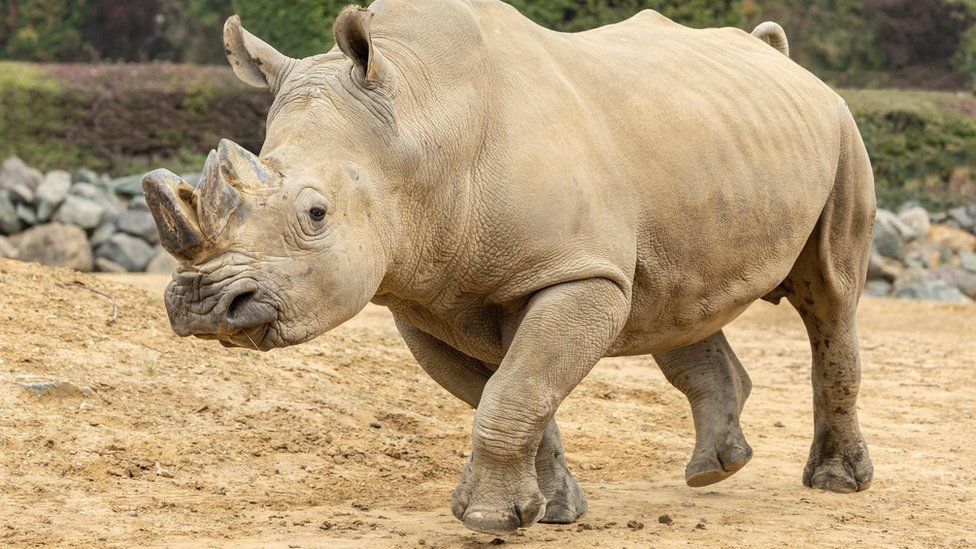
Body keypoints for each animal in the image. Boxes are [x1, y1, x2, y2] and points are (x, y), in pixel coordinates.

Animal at [143, 0, 876, 532]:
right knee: (676, 302)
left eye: (316, 213)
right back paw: (715, 471)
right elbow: (517, 391)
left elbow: (516, 388)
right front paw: (548, 511)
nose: (204, 305)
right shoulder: (422, 298)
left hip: (841, 131)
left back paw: (835, 484)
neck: (416, 123)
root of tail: (780, 56)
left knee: (830, 297)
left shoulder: (578, 271)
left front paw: (491, 519)